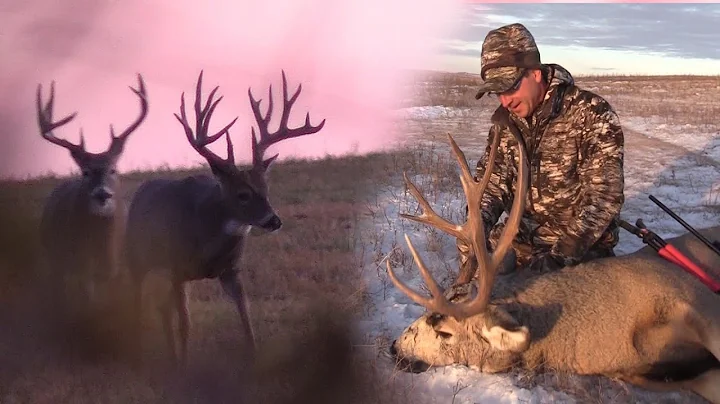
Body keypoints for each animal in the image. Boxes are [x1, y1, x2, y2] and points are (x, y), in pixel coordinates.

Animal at [36, 74, 148, 318]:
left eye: (113, 169)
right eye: (85, 172)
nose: (102, 194)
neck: (100, 245)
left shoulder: (117, 265)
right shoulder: (81, 263)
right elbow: (88, 300)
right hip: (54, 254)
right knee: (56, 288)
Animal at [124, 70, 326, 366]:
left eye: (266, 189)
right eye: (243, 194)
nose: (274, 221)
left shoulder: (232, 269)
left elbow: (246, 318)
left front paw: (254, 356)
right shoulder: (177, 267)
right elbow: (185, 323)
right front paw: (184, 364)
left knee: (162, 309)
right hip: (137, 257)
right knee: (139, 298)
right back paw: (139, 348)